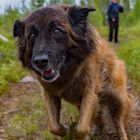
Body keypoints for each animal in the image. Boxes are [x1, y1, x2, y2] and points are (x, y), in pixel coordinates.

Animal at [13, 4, 132, 140]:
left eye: (56, 31)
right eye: (32, 35)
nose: (40, 62)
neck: (65, 72)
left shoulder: (89, 93)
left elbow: (81, 128)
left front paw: (74, 132)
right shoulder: (49, 94)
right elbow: (53, 126)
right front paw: (66, 130)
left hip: (117, 96)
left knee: (118, 120)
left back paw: (121, 134)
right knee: (99, 117)